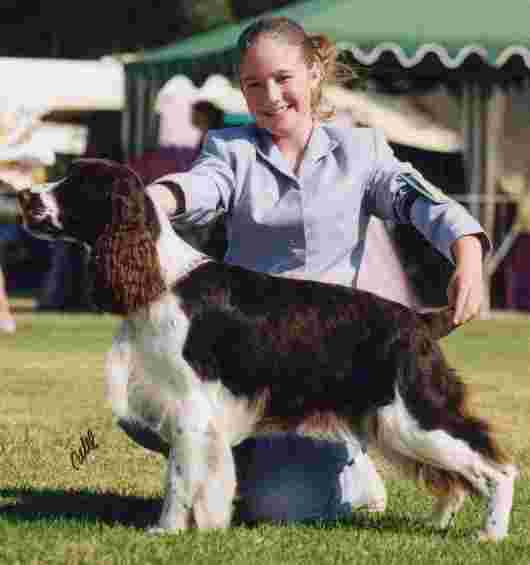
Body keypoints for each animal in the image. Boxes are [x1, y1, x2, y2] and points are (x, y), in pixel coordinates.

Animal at [17, 158, 516, 536]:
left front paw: (166, 531)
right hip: (395, 425)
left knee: (497, 468)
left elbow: (179, 477)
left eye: (76, 183)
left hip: (412, 414)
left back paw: (489, 534)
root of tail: (421, 319)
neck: (160, 279)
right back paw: (439, 523)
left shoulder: (189, 403)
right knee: (456, 477)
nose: (22, 195)